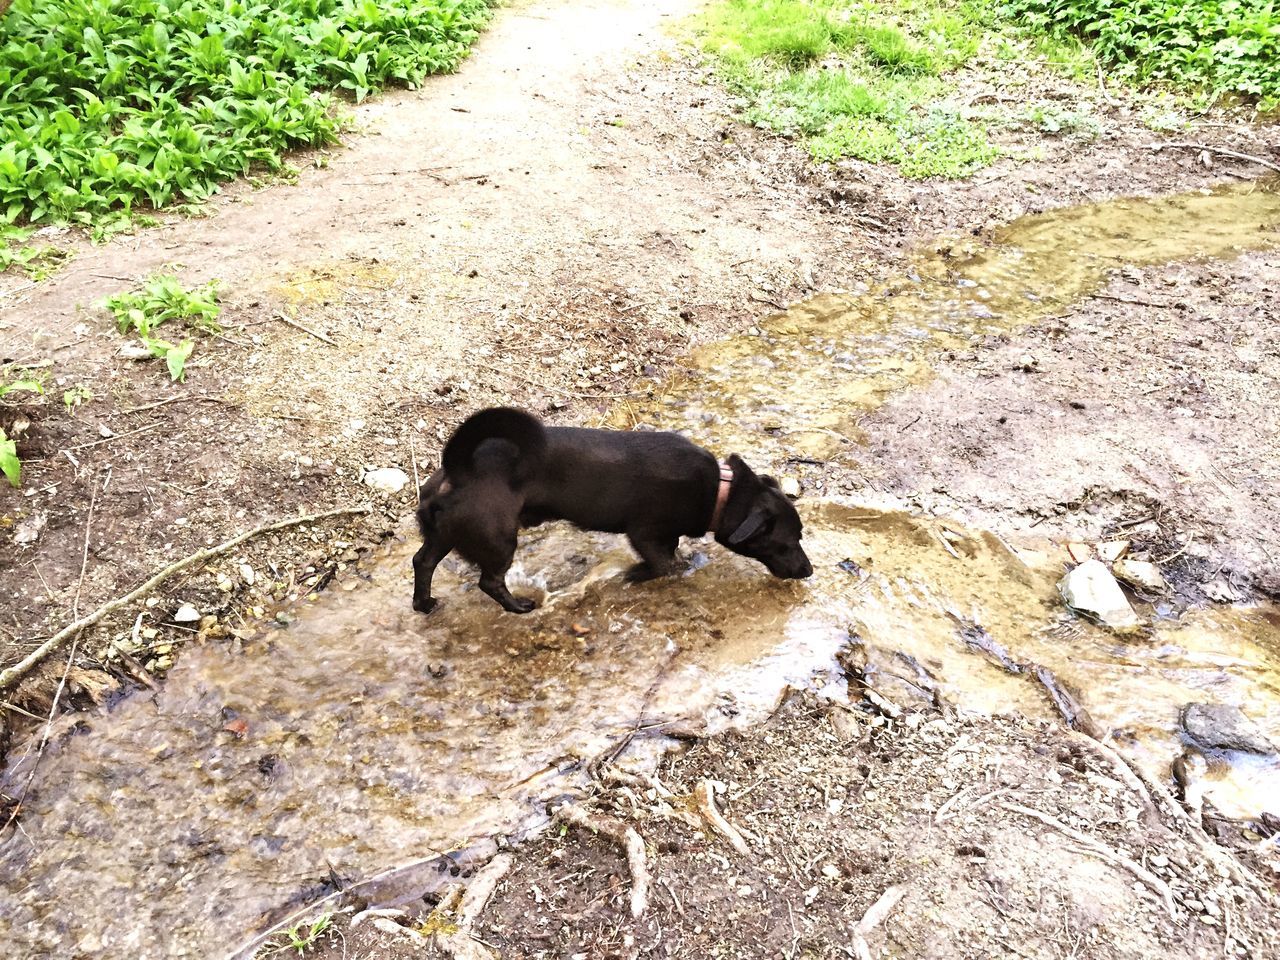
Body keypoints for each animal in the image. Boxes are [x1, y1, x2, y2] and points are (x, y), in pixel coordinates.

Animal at [409, 407, 808, 616]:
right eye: (787, 542)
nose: (809, 571)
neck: (721, 491)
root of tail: (463, 469)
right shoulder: (645, 533)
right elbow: (662, 565)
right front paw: (636, 575)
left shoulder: (665, 535)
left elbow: (671, 554)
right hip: (498, 540)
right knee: (490, 582)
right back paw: (519, 606)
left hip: (443, 535)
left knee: (423, 563)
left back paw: (424, 603)